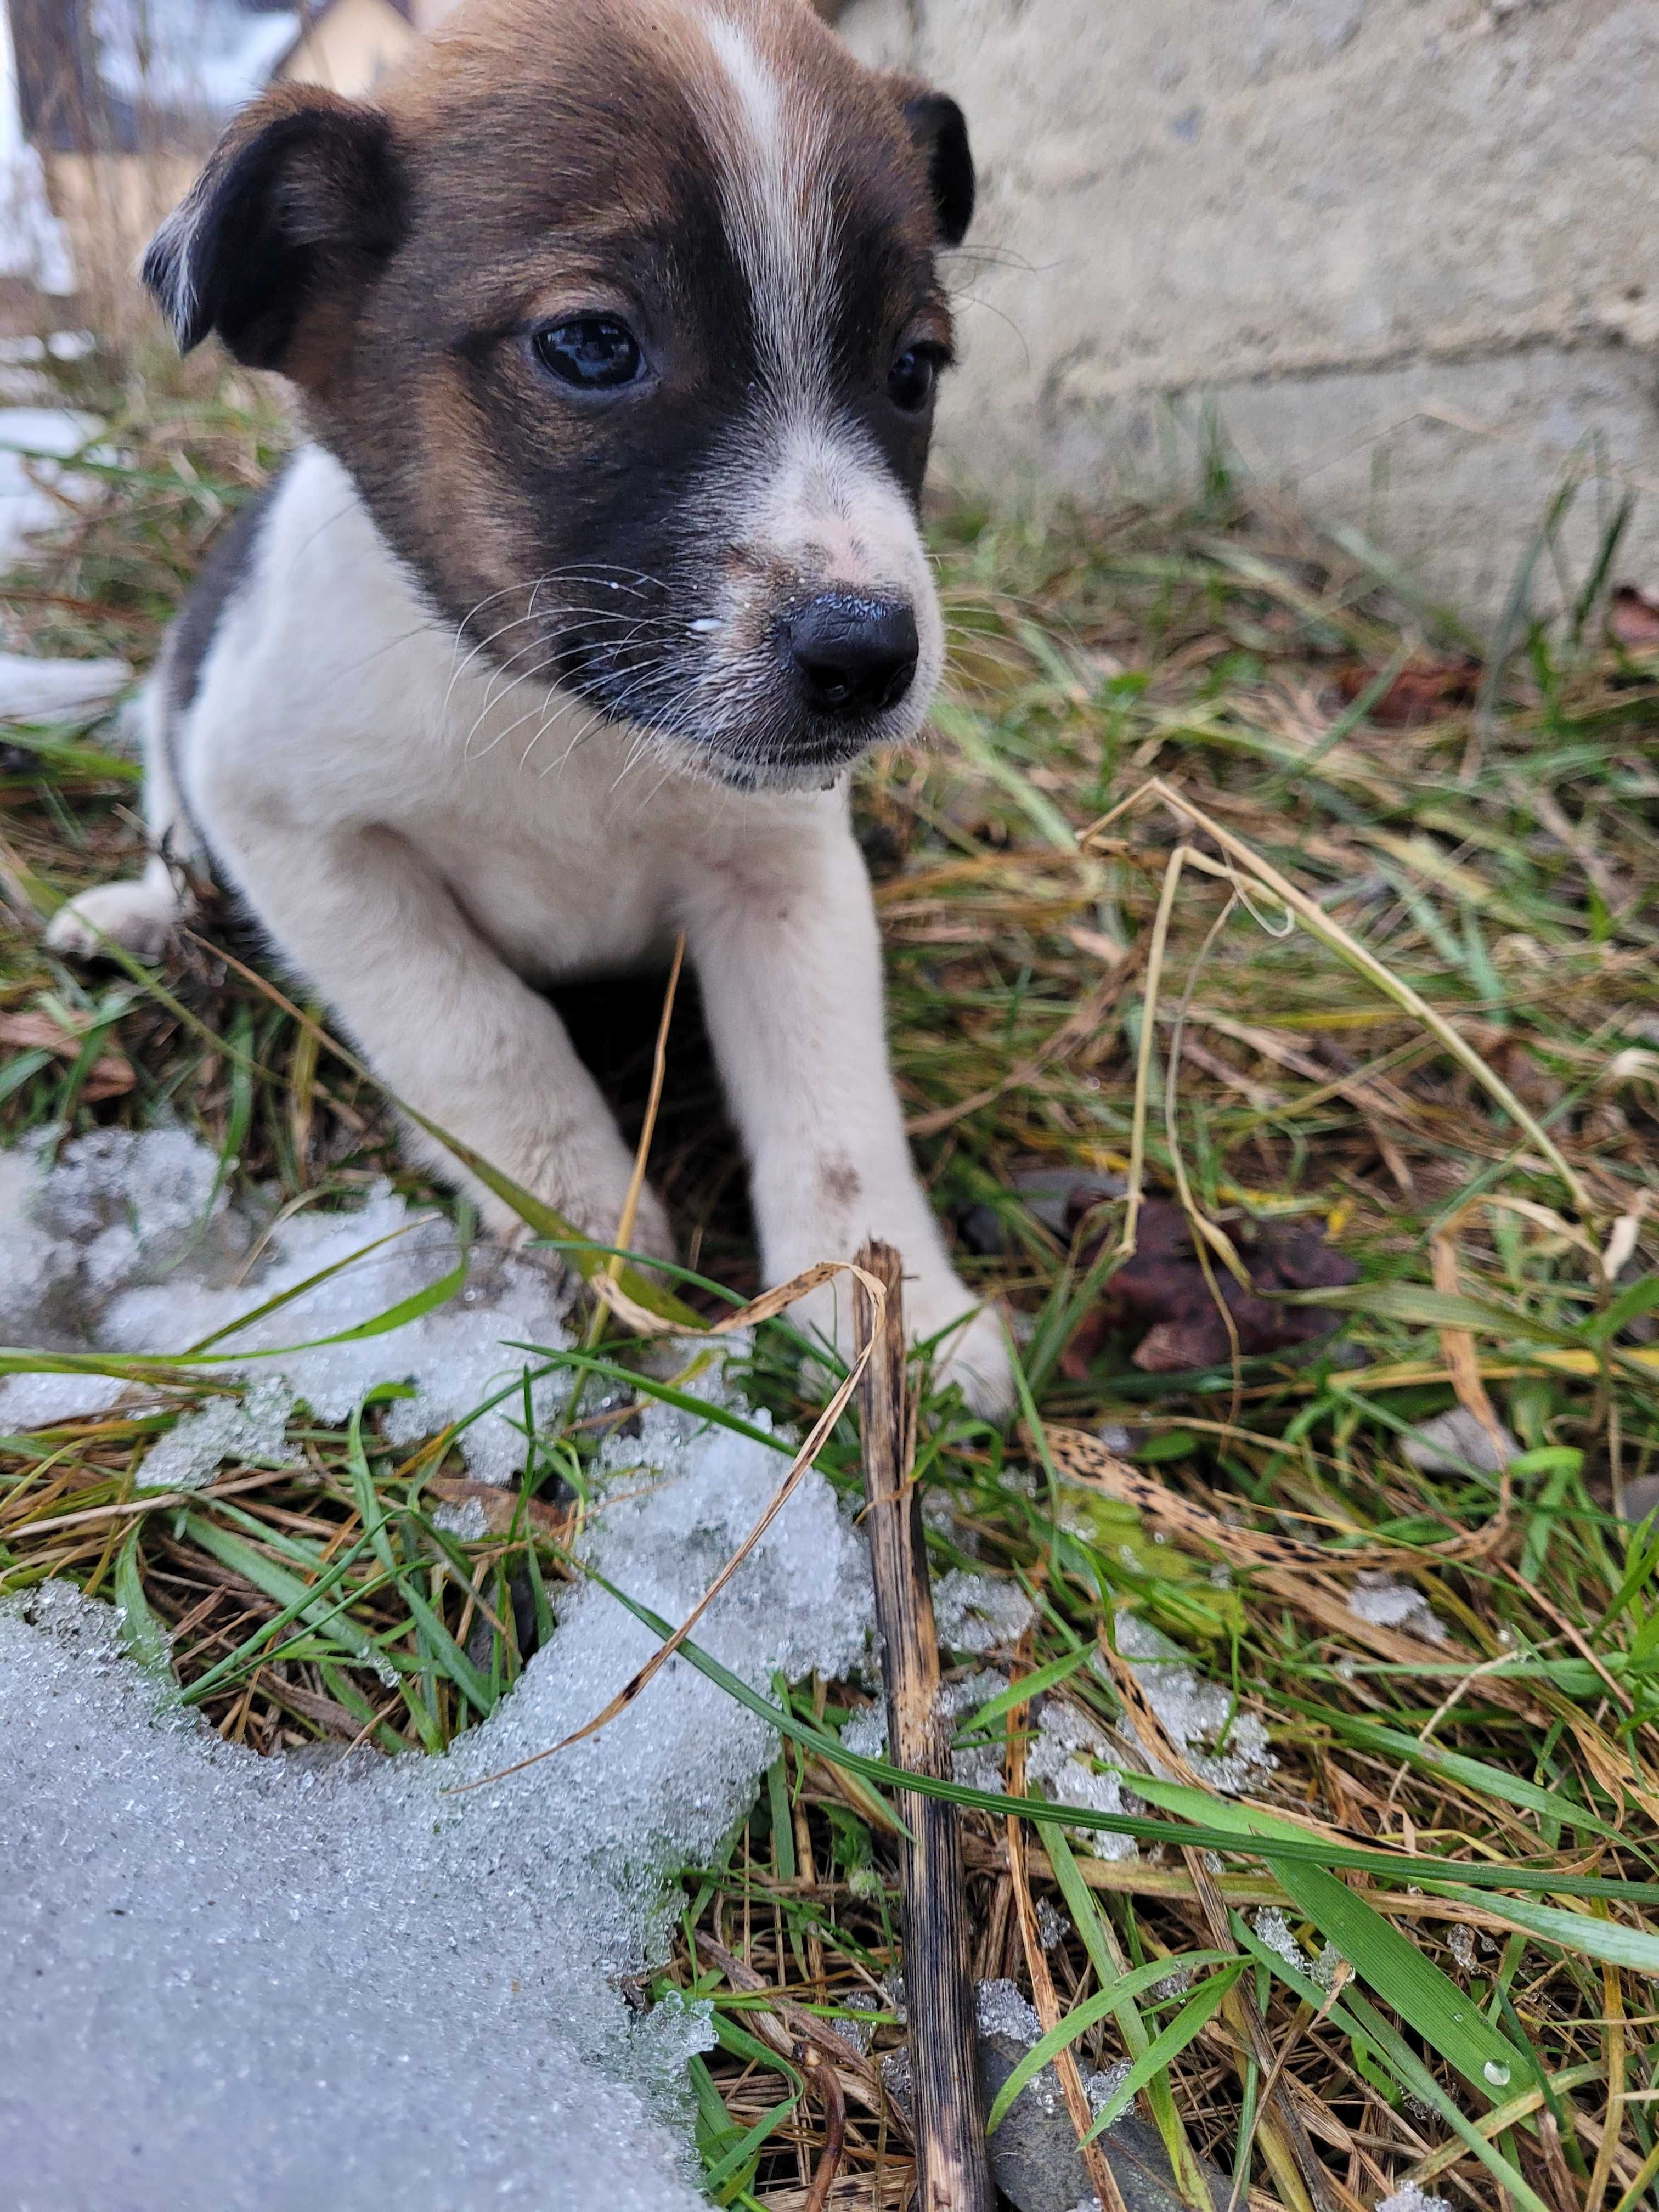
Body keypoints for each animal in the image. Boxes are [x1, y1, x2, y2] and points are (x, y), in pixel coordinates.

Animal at [48, 0, 1013, 1415]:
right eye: (592, 346)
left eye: (915, 366)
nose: (871, 656)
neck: (566, 726)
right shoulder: (292, 823)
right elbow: (478, 1032)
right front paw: (579, 1225)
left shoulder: (785, 870)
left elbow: (834, 1102)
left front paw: (895, 1314)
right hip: (180, 754)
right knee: (176, 854)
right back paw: (131, 916)